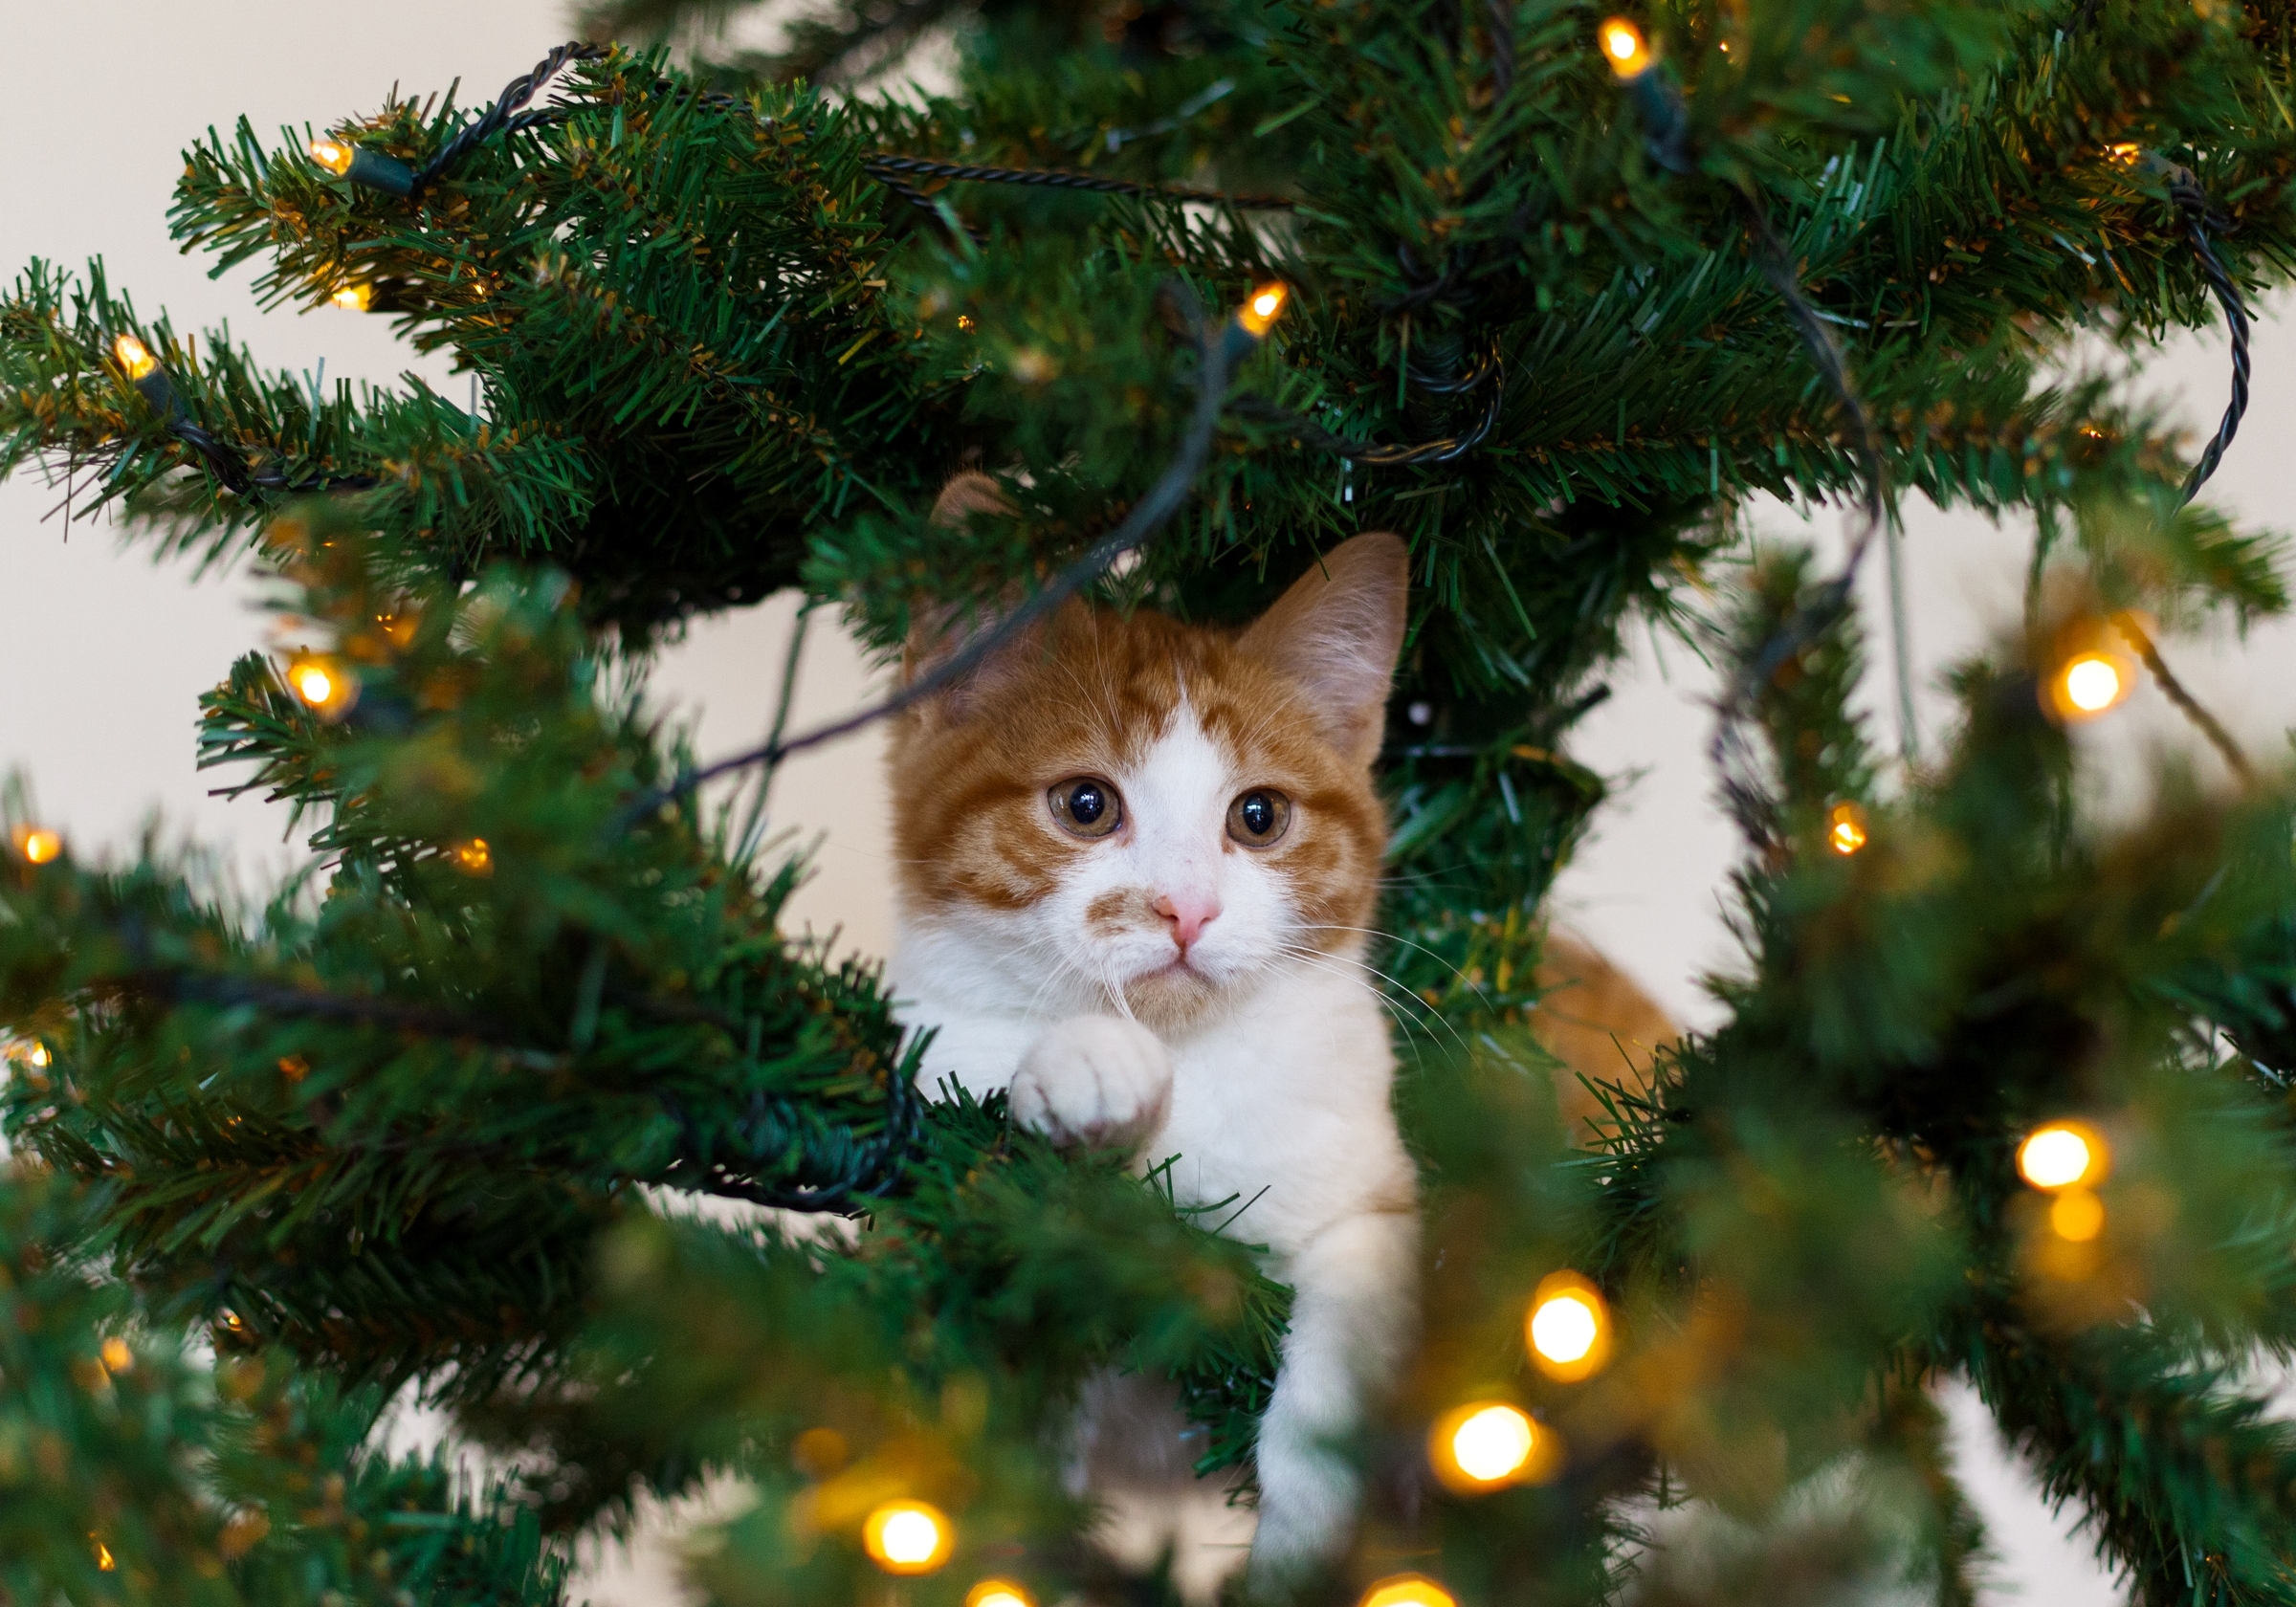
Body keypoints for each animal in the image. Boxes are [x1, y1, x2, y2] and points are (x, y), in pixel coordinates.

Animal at [881, 473, 1404, 1579]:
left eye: (1260, 817)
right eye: (1085, 804)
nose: (1187, 909)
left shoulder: (1376, 1196)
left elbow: (1349, 1313)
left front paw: (1304, 1535)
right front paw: (1089, 1066)